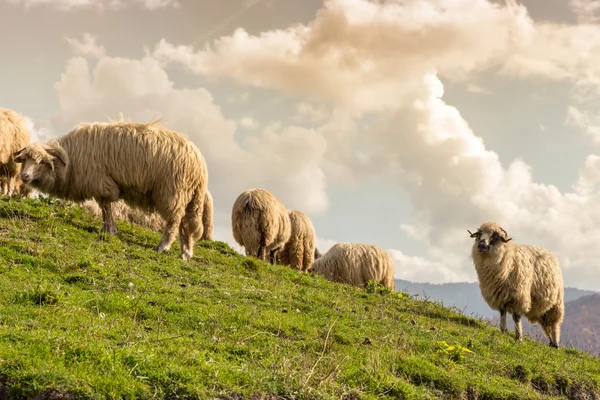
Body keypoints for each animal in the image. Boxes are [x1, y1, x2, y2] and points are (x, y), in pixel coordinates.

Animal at [14, 118, 209, 260]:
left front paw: (109, 230)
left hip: (172, 191)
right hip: (189, 197)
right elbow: (105, 208)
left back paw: (163, 246)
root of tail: (199, 162)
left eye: (41, 162)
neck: (72, 159)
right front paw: (108, 229)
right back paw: (185, 253)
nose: (25, 176)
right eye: (24, 160)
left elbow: (106, 207)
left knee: (174, 221)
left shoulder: (101, 183)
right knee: (185, 224)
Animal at [472, 220, 564, 348]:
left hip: (556, 302)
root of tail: (549, 253)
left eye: (494, 235)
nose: (481, 245)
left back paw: (555, 344)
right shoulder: (500, 295)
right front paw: (503, 330)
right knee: (546, 324)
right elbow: (502, 313)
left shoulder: (519, 296)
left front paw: (519, 337)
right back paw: (551, 343)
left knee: (554, 323)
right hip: (541, 307)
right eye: (480, 233)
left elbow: (516, 317)